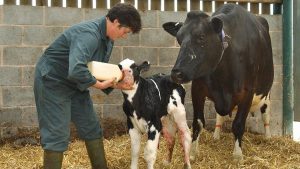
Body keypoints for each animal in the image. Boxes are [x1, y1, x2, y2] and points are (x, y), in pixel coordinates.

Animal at [163, 3, 274, 160]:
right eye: (179, 39)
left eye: (201, 37)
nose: (176, 73)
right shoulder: (198, 89)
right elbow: (198, 123)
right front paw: (192, 153)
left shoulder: (248, 92)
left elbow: (238, 124)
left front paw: (237, 155)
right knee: (219, 117)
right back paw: (216, 135)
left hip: (266, 91)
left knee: (265, 113)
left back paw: (268, 136)